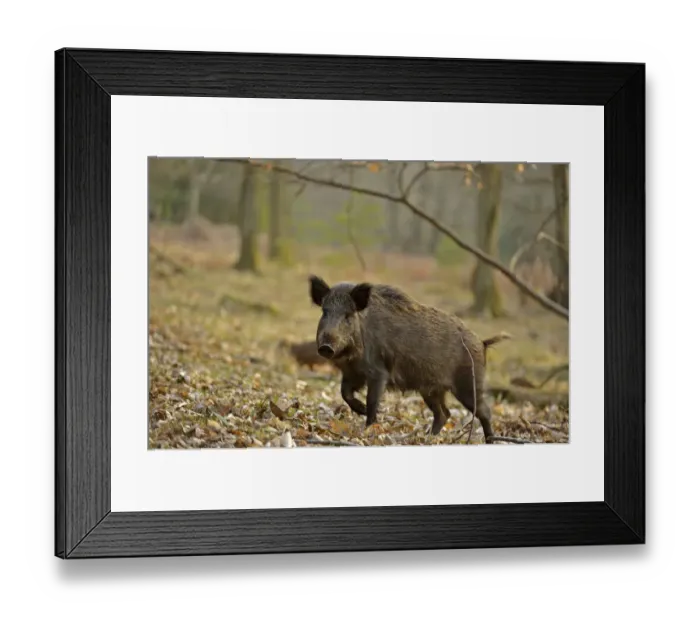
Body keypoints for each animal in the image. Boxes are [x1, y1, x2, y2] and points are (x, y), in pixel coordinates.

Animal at [308, 275, 511, 443]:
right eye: (324, 312)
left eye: (348, 315)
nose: (326, 346)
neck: (351, 356)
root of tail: (482, 342)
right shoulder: (352, 373)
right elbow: (345, 393)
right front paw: (361, 411)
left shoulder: (378, 372)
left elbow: (372, 400)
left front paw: (369, 427)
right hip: (430, 389)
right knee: (444, 413)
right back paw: (428, 437)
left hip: (468, 383)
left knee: (484, 412)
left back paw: (490, 440)